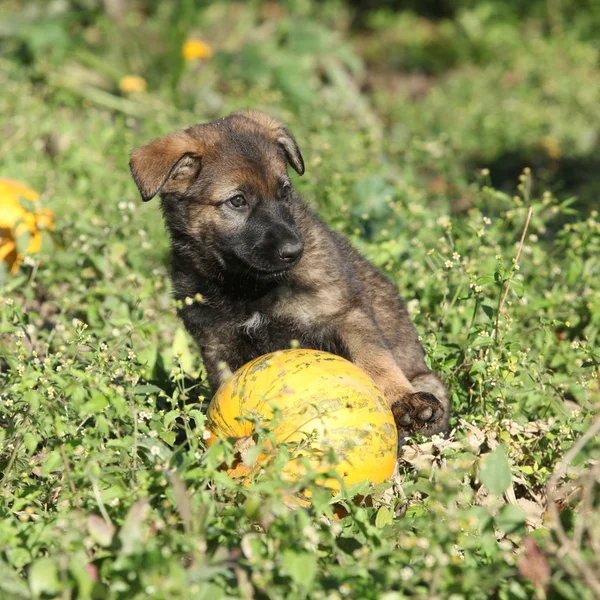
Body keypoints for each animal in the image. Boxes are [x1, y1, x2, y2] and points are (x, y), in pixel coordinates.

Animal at [131, 110, 450, 436]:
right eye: (237, 200)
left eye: (284, 191)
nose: (295, 251)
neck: (247, 287)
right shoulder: (218, 346)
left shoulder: (347, 315)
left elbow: (376, 361)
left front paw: (403, 399)